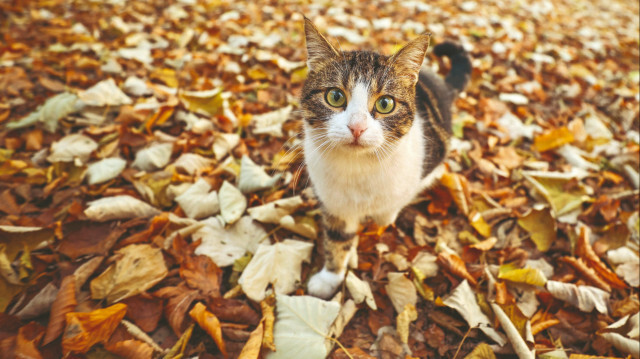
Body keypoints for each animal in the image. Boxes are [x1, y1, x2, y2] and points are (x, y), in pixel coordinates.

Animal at [300, 16, 470, 300]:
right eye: (335, 96)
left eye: (385, 104)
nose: (356, 127)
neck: (358, 169)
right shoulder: (334, 202)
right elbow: (338, 238)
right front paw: (329, 278)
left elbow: (388, 213)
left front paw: (381, 220)